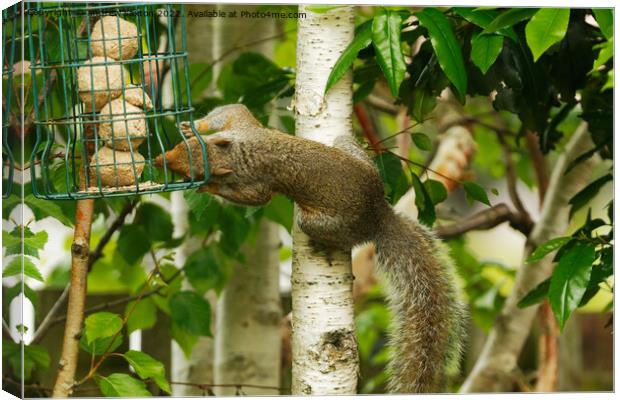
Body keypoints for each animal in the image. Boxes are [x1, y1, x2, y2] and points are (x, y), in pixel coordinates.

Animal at [155, 104, 464, 394]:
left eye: (188, 171)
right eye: (181, 147)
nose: (160, 159)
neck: (241, 152)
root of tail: (379, 215)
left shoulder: (255, 182)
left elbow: (255, 198)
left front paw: (209, 187)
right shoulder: (244, 127)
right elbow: (233, 110)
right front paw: (193, 125)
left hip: (321, 223)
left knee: (337, 237)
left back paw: (323, 245)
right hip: (349, 148)